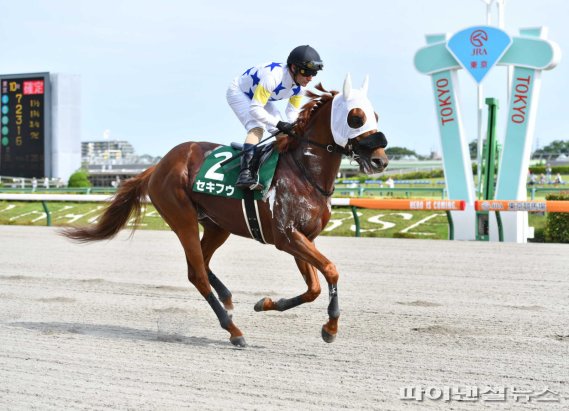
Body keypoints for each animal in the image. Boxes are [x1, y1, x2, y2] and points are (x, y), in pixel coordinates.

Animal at [63, 75, 390, 348]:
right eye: (356, 117)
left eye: (375, 116)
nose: (381, 160)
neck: (304, 171)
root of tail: (158, 166)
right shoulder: (287, 237)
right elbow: (331, 270)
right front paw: (330, 329)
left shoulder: (304, 237)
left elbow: (314, 288)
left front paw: (266, 303)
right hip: (182, 218)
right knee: (196, 273)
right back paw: (233, 330)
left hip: (217, 225)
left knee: (201, 262)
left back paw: (228, 299)